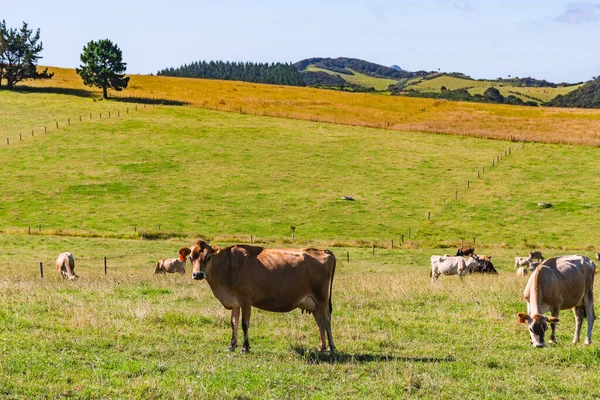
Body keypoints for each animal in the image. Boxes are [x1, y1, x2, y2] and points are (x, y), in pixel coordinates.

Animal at [190, 239, 336, 352]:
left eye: (208, 257)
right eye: (191, 258)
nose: (198, 274)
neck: (228, 265)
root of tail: (323, 251)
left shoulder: (246, 299)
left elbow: (244, 324)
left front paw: (245, 347)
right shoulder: (234, 301)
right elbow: (234, 323)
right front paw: (232, 345)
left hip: (322, 298)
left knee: (327, 321)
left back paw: (332, 348)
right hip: (314, 303)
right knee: (320, 323)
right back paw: (321, 347)